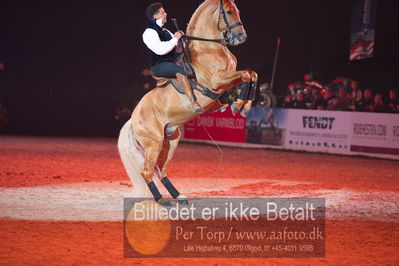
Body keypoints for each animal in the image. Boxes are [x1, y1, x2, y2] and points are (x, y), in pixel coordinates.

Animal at [117, 0, 258, 205]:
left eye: (237, 10)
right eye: (229, 12)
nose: (241, 36)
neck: (209, 48)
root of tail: (133, 119)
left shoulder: (230, 78)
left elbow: (252, 74)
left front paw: (242, 106)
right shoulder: (218, 81)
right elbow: (247, 75)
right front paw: (238, 105)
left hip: (170, 141)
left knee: (160, 170)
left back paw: (179, 196)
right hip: (153, 143)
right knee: (147, 171)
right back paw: (161, 200)